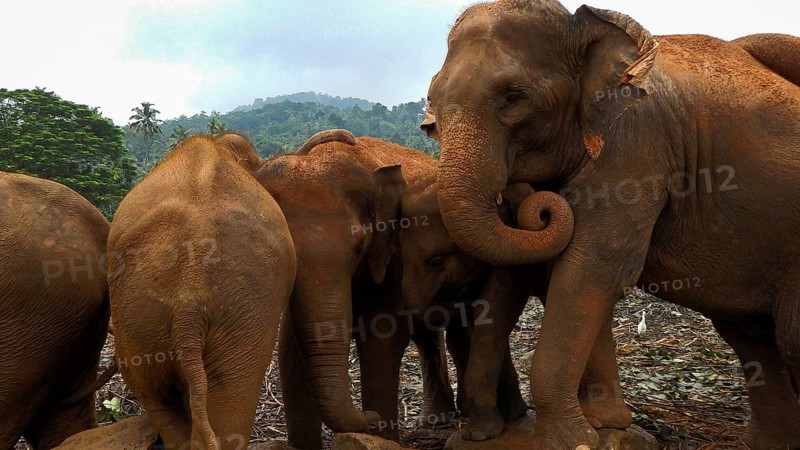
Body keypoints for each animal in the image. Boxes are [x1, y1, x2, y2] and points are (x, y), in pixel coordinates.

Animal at [425, 0, 800, 447]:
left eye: (513, 99)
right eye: (432, 107)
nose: (540, 210)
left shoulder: (637, 144)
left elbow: (596, 266)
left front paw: (574, 440)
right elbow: (561, 271)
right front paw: (606, 424)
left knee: (786, 336)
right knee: (752, 335)